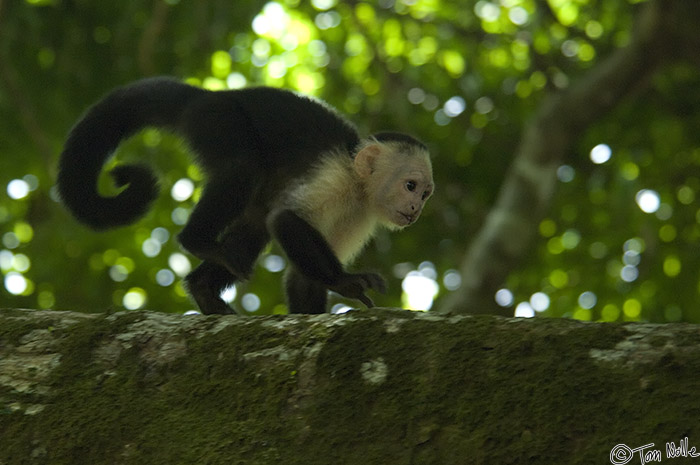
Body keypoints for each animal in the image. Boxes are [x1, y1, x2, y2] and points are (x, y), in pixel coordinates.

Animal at [57, 77, 432, 316]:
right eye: (410, 186)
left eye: (425, 194)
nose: (415, 209)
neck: (359, 189)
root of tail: (208, 94)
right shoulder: (334, 177)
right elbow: (286, 220)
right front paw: (345, 281)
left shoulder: (360, 217)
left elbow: (299, 276)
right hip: (217, 121)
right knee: (243, 169)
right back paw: (197, 240)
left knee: (255, 225)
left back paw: (203, 289)